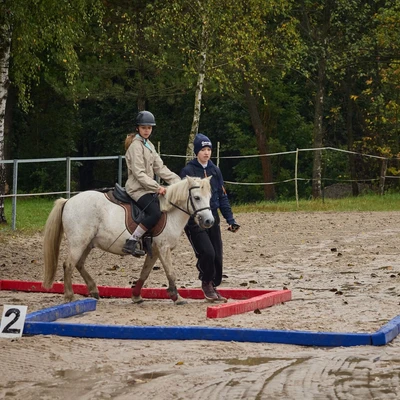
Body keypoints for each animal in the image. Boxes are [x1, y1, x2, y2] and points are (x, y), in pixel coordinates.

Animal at [42, 177, 214, 304]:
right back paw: (70, 296)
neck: (169, 212)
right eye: (197, 197)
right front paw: (177, 297)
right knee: (69, 265)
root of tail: (68, 201)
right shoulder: (163, 248)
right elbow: (171, 273)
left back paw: (93, 290)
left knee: (79, 264)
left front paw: (136, 295)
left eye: (210, 197)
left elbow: (145, 273)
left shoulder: (155, 251)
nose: (209, 221)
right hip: (78, 242)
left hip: (87, 244)